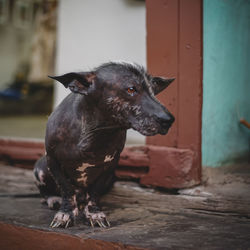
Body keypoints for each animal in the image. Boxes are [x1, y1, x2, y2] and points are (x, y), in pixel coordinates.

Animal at [33, 61, 175, 228]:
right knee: (47, 191)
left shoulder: (109, 167)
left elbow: (95, 192)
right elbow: (67, 190)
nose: (169, 120)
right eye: (131, 89)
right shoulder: (53, 161)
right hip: (40, 168)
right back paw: (53, 199)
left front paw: (94, 213)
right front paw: (65, 213)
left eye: (154, 91)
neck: (95, 133)